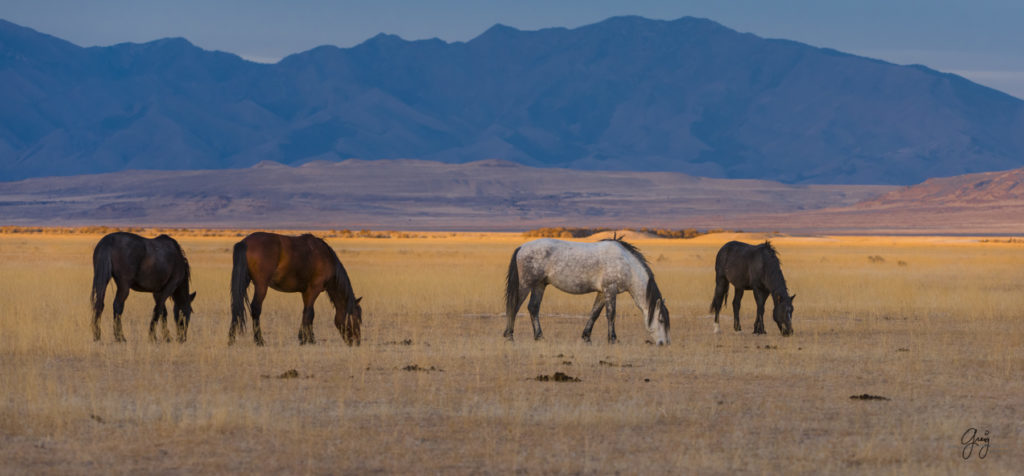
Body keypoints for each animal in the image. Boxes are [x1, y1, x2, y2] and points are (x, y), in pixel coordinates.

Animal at [230, 231, 362, 345]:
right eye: (356, 318)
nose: (357, 342)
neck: (326, 257)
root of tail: (245, 242)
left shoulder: (306, 292)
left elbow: (308, 313)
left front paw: (307, 337)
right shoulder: (314, 289)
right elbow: (309, 312)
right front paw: (307, 339)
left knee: (236, 306)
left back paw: (231, 339)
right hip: (261, 285)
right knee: (256, 308)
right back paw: (259, 341)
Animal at [505, 235, 671, 343]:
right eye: (661, 320)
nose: (665, 343)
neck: (626, 265)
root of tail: (521, 247)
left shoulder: (602, 293)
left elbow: (594, 313)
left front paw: (586, 336)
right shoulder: (610, 290)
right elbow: (611, 314)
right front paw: (613, 339)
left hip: (539, 285)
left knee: (533, 308)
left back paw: (539, 336)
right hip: (525, 285)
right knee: (515, 306)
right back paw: (509, 335)